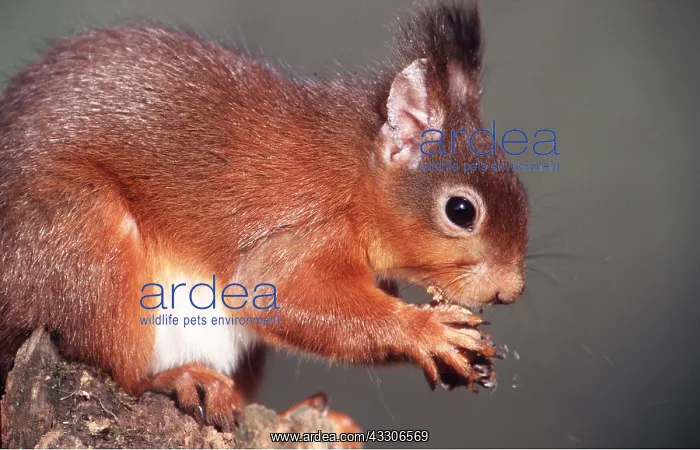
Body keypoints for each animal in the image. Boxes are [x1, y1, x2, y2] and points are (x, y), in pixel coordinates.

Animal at [0, 1, 528, 432]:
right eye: (461, 210)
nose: (510, 290)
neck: (357, 178)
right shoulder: (304, 229)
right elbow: (277, 295)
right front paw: (427, 332)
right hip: (83, 239)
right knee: (117, 369)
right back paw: (179, 378)